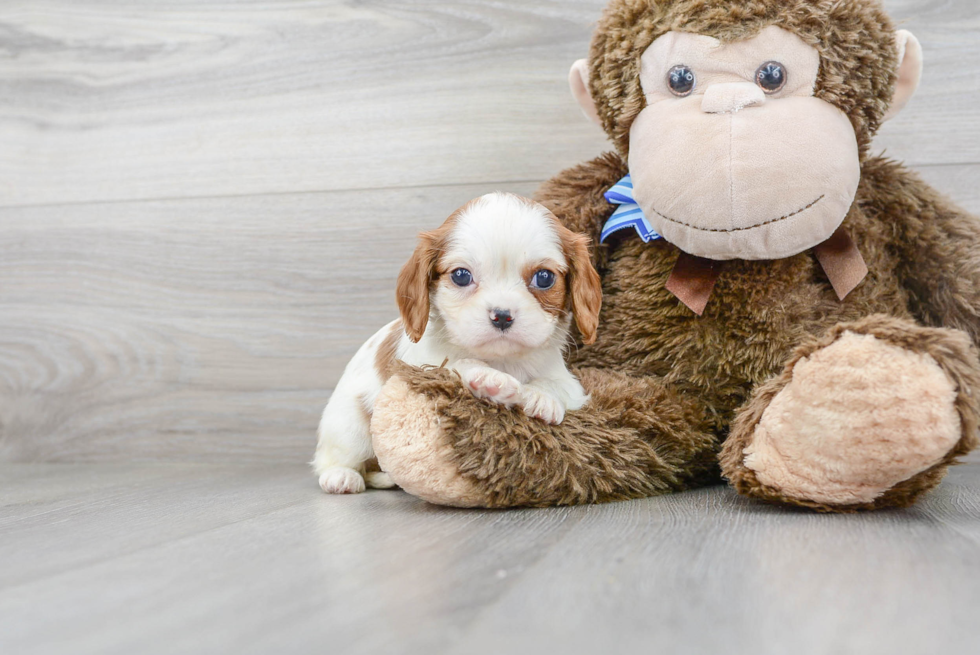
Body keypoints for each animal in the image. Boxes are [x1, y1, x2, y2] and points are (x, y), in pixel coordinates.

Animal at [314, 192, 604, 494]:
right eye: (461, 276)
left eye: (544, 278)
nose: (502, 315)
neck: (502, 360)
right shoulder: (421, 367)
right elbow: (456, 364)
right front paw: (489, 378)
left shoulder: (569, 382)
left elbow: (554, 384)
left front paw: (540, 397)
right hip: (350, 426)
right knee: (332, 459)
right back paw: (341, 477)